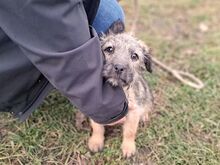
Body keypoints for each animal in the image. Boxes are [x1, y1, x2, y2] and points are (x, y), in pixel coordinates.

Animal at [87, 21, 154, 158]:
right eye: (109, 49)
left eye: (134, 56)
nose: (119, 68)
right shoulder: (95, 109)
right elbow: (97, 127)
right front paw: (96, 141)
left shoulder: (133, 112)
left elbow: (130, 131)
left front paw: (128, 147)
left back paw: (144, 116)